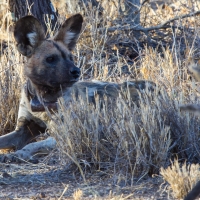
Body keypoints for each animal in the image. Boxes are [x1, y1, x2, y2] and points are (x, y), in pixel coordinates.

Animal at [0, 14, 155, 152]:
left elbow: (30, 146)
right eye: (50, 59)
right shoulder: (22, 129)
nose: (76, 71)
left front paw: (16, 155)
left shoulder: (61, 134)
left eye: (70, 58)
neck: (42, 97)